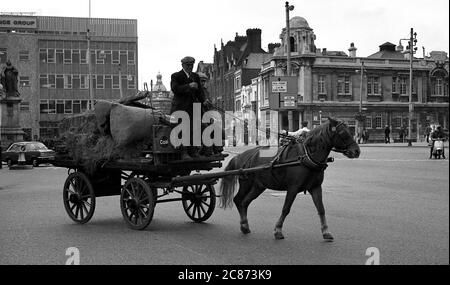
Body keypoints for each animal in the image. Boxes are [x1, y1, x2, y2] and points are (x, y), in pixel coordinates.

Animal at [220, 117, 360, 240]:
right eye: (342, 133)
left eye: (351, 130)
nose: (357, 151)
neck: (306, 156)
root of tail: (241, 155)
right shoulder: (293, 188)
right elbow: (286, 209)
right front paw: (278, 230)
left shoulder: (315, 187)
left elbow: (321, 209)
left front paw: (326, 231)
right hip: (246, 183)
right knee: (238, 200)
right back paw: (244, 224)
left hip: (258, 186)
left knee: (244, 202)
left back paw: (245, 225)